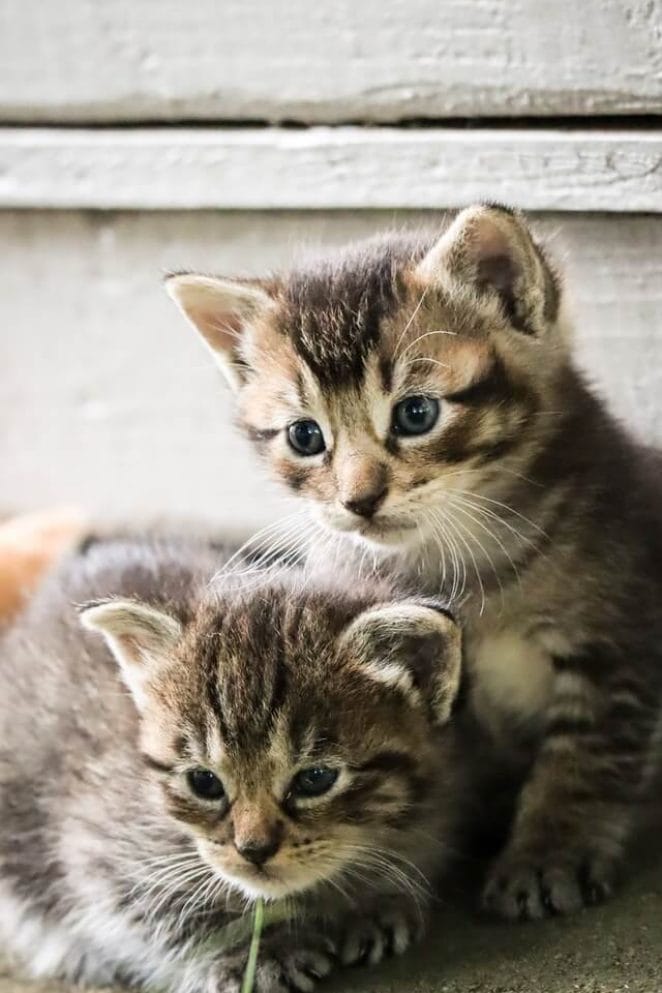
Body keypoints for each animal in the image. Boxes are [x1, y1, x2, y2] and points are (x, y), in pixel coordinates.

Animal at [0, 540, 464, 988]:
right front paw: (257, 950)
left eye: (316, 778)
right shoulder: (101, 840)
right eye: (204, 782)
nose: (253, 850)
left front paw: (372, 903)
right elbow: (149, 906)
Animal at [169, 203, 662, 924]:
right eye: (305, 436)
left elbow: (584, 759)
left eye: (417, 413)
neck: (462, 568)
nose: (359, 499)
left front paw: (549, 853)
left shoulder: (617, 637)